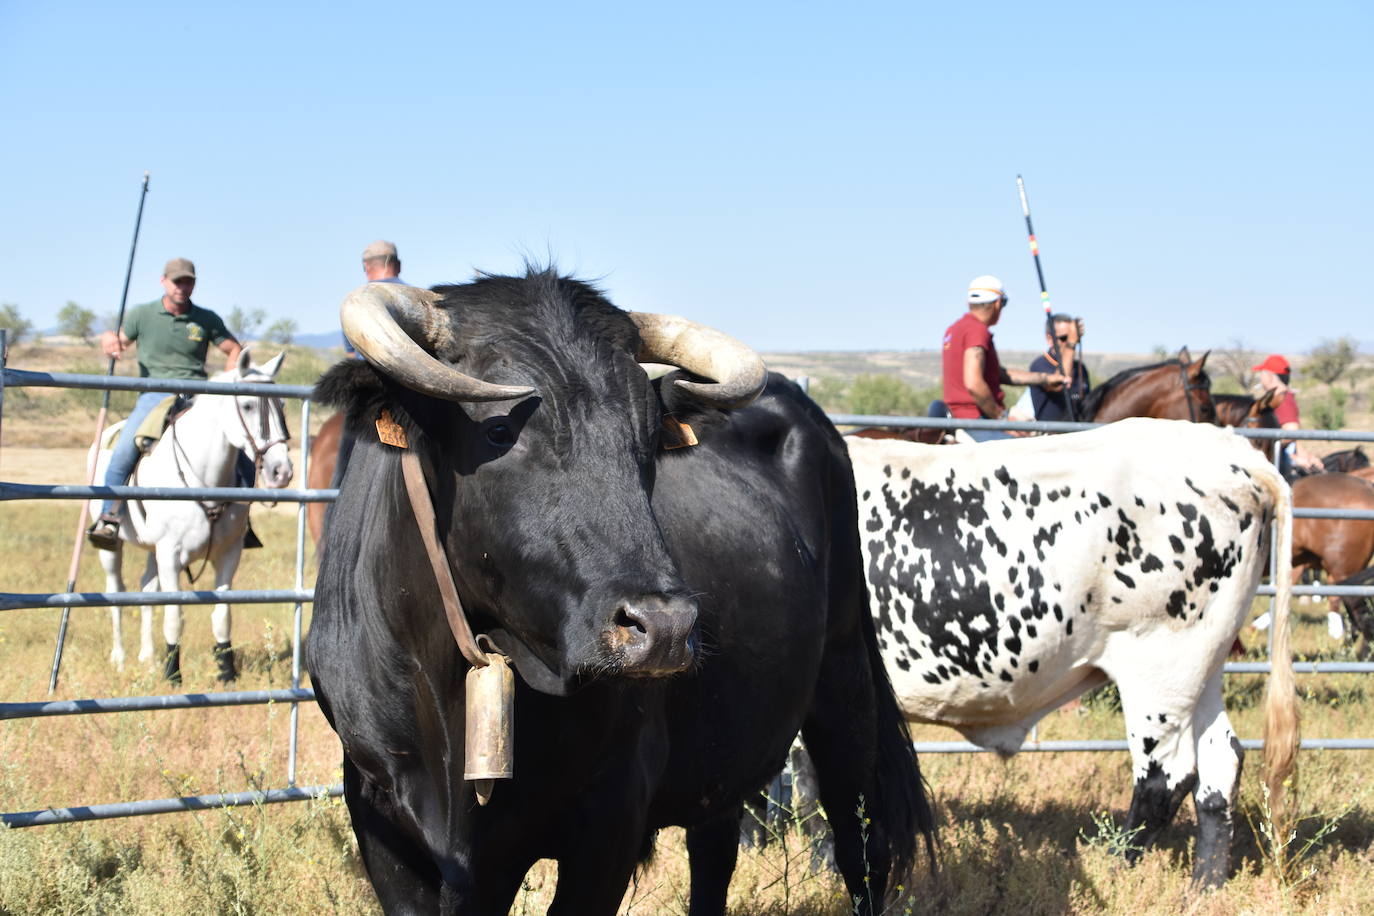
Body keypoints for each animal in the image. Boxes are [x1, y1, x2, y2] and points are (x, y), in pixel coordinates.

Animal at [88, 354, 292, 683]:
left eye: (282, 404)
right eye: (248, 405)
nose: (281, 471)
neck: (204, 478)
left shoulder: (228, 554)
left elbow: (223, 614)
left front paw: (227, 671)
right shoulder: (170, 554)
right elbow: (174, 615)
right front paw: (173, 674)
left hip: (152, 550)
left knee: (147, 589)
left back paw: (147, 657)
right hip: (113, 547)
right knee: (115, 591)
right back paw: (119, 659)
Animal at [307, 269, 934, 911]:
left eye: (650, 437)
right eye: (500, 428)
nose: (664, 628)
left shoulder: (608, 821)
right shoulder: (379, 816)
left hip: (845, 679)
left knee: (861, 845)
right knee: (715, 852)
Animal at [846, 420, 1297, 889]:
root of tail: (1235, 453)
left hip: (1159, 668)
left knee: (1164, 779)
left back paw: (1115, 870)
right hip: (1201, 668)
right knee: (1219, 766)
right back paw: (1203, 886)